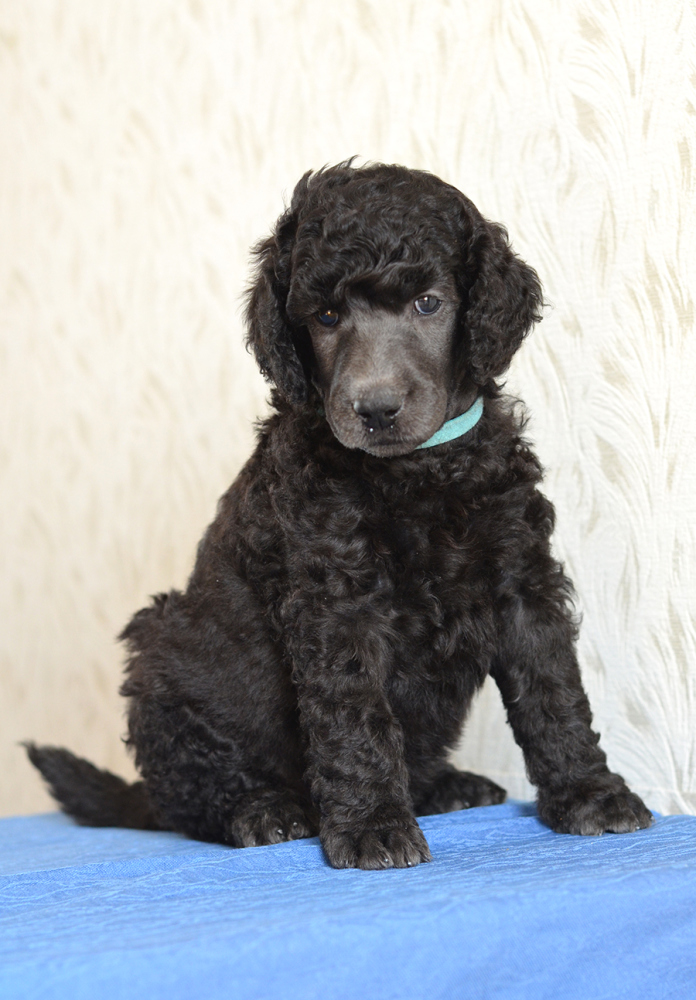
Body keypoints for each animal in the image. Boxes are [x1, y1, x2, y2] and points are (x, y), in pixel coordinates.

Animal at [27, 161, 652, 869]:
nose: (374, 410)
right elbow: (354, 715)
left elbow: (554, 691)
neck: (418, 469)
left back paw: (448, 787)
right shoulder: (337, 600)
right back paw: (264, 811)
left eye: (427, 303)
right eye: (326, 316)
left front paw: (591, 793)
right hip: (164, 660)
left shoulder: (522, 577)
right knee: (191, 796)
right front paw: (373, 825)